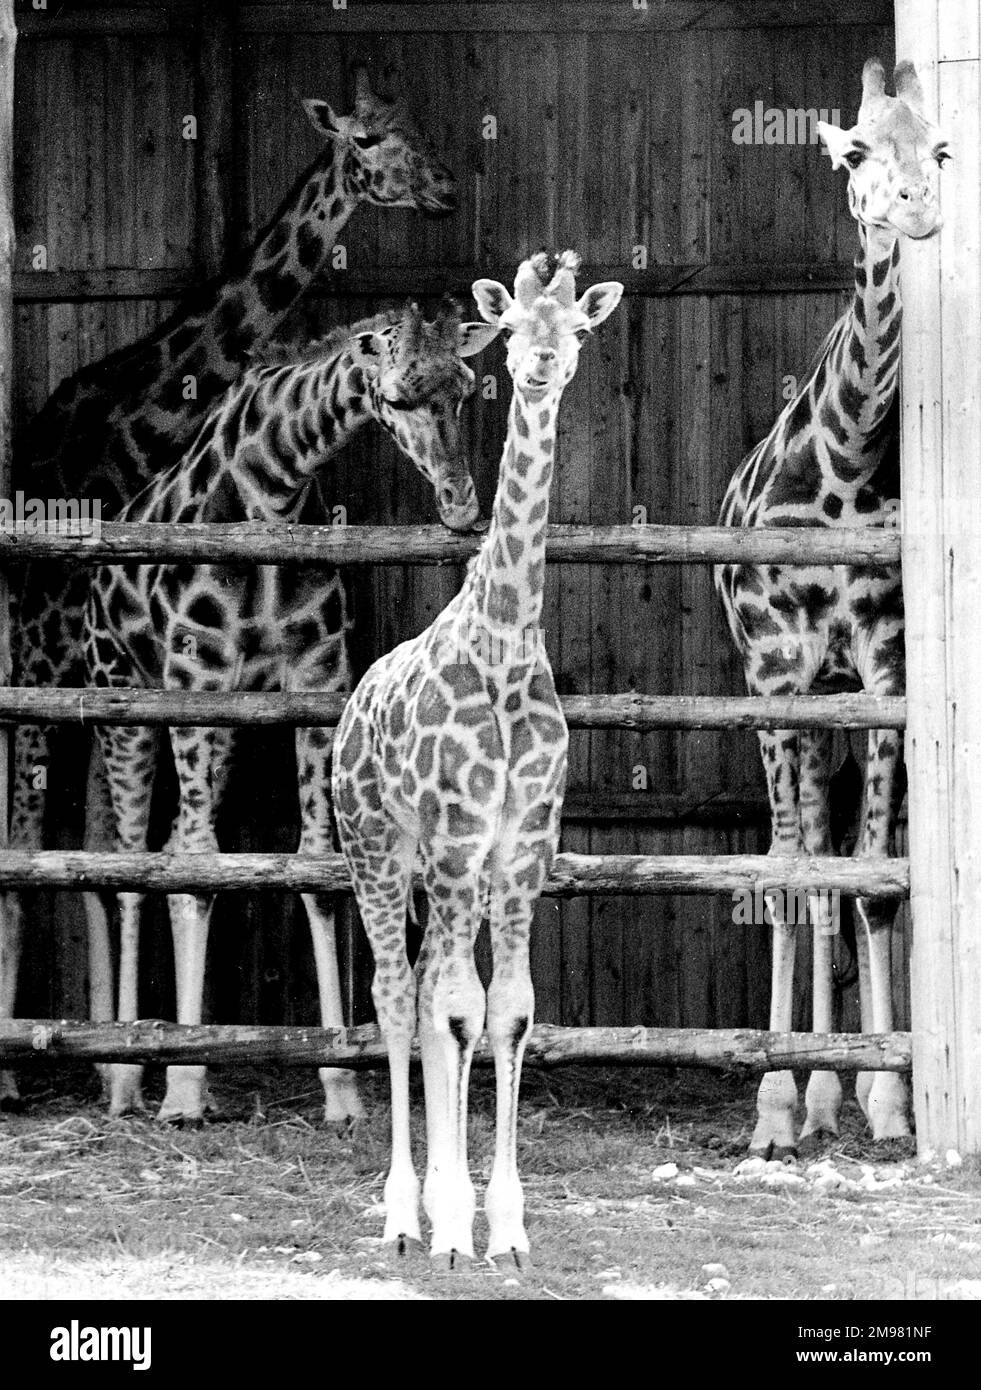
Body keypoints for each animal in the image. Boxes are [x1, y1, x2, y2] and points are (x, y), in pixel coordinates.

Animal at [0, 67, 457, 1109]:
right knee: (58, 844)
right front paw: (173, 1076)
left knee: (101, 848)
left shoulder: (272, 685)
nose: (446, 192)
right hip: (56, 677)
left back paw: (111, 1062)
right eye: (366, 141)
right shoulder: (155, 678)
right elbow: (174, 857)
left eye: (417, 127)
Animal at [83, 300, 497, 1123]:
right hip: (125, 699)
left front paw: (340, 1084)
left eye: (466, 389)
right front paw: (185, 1084)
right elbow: (195, 865)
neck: (269, 487)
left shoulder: (313, 680)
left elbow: (314, 863)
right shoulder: (195, 679)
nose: (462, 504)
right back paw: (125, 1075)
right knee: (132, 862)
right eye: (396, 396)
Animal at [332, 253, 623, 1266]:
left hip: (426, 864)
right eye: (511, 328)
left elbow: (508, 1010)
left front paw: (507, 1228)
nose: (539, 366)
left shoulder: (523, 846)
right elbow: (455, 1009)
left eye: (576, 328)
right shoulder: (462, 839)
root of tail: (348, 710)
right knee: (394, 992)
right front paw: (456, 1224)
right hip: (375, 848)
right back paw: (397, 1214)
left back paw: (422, 1208)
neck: (504, 640)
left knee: (424, 990)